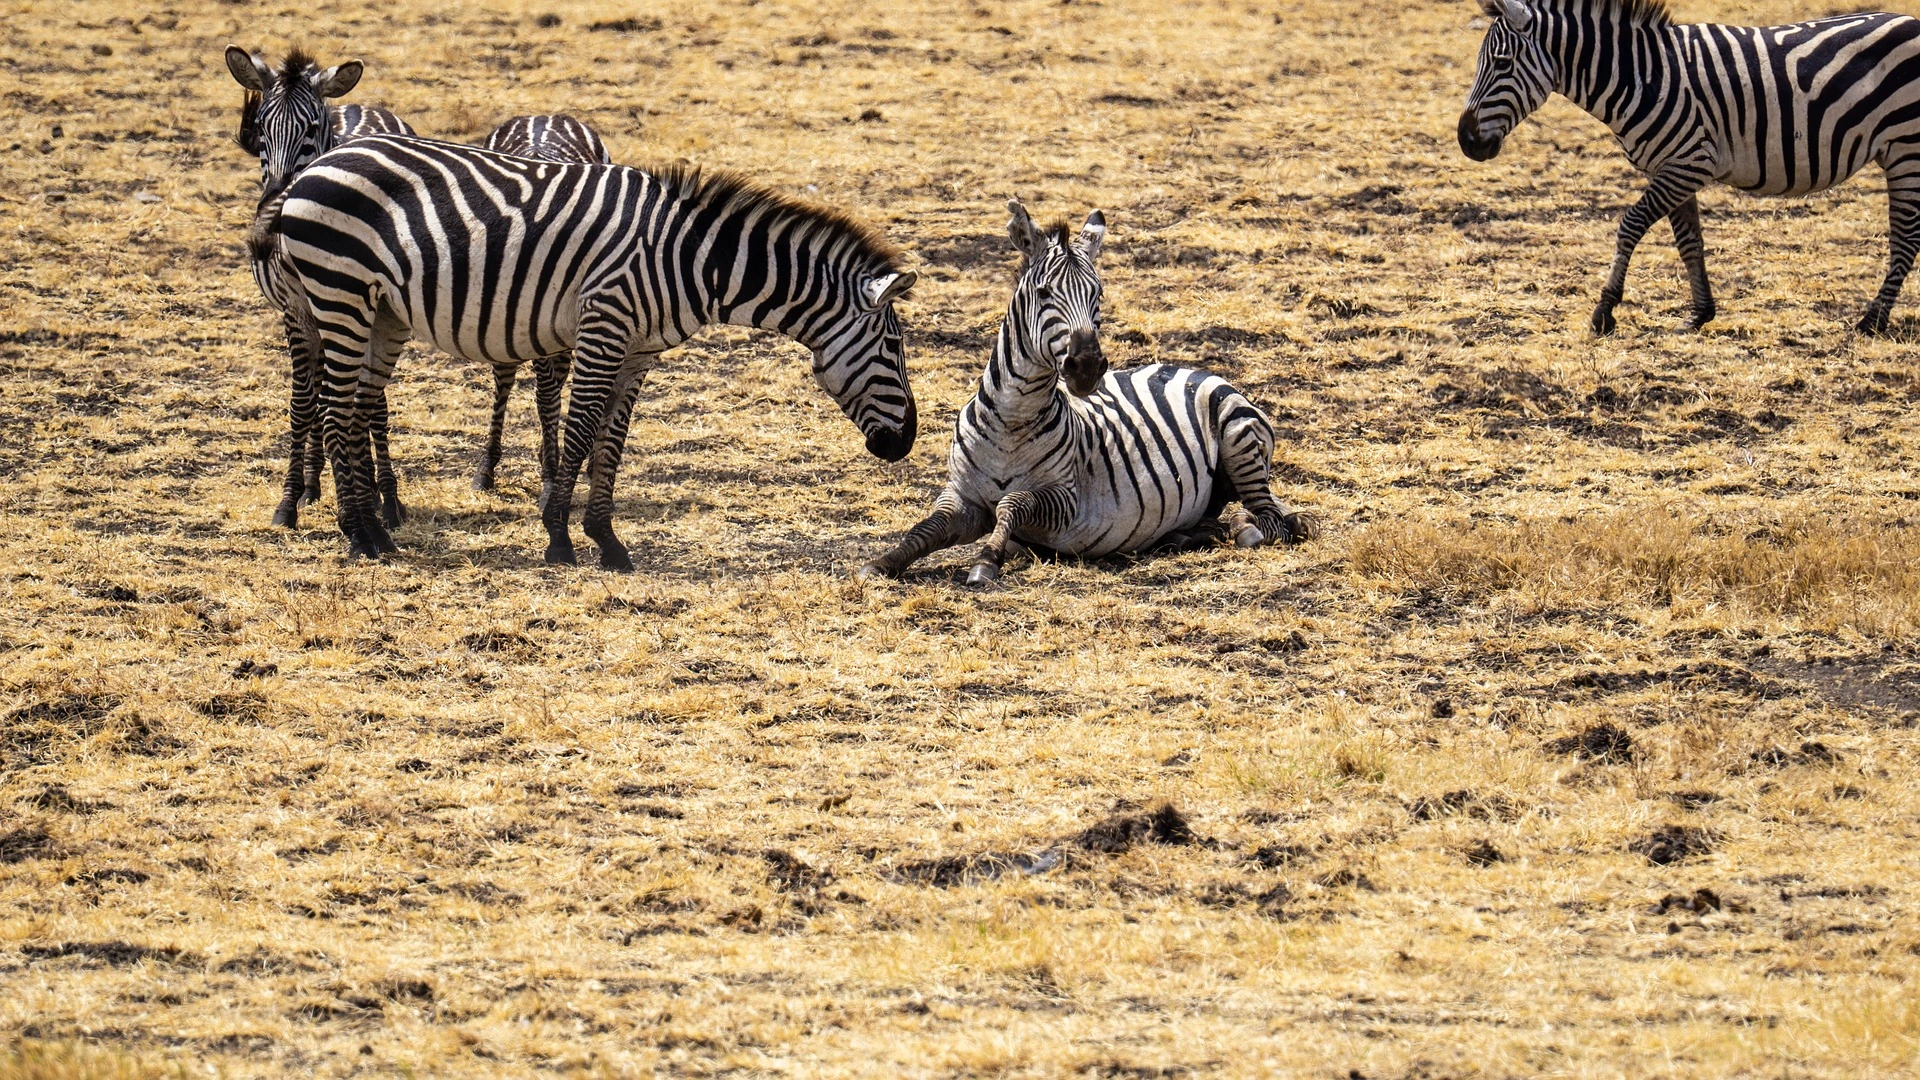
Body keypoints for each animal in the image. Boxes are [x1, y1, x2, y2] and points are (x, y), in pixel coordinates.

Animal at [228, 42, 416, 530]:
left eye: (312, 130)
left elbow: (365, 402)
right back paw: (317, 480)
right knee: (320, 390)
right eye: (261, 129)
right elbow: (303, 404)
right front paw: (292, 498)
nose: (263, 236)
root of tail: (359, 105)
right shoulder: (294, 312)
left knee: (364, 397)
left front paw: (381, 496)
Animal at [864, 197, 1313, 584]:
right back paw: (1186, 534)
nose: (1087, 367)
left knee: (1271, 519)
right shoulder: (962, 497)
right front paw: (883, 561)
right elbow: (926, 527)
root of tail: (1191, 368)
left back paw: (1245, 528)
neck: (1011, 418)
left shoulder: (1067, 500)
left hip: (1239, 439)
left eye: (1098, 295)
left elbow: (1012, 502)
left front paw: (987, 560)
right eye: (1044, 293)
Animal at [1451, 0, 1920, 332]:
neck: (1643, 77)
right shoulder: (1674, 167)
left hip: (1905, 149)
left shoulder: (1687, 163)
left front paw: (1605, 309)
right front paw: (1700, 313)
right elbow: (1689, 241)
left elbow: (1630, 226)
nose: (1466, 142)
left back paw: (1873, 321)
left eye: (1502, 64)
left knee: (1906, 239)